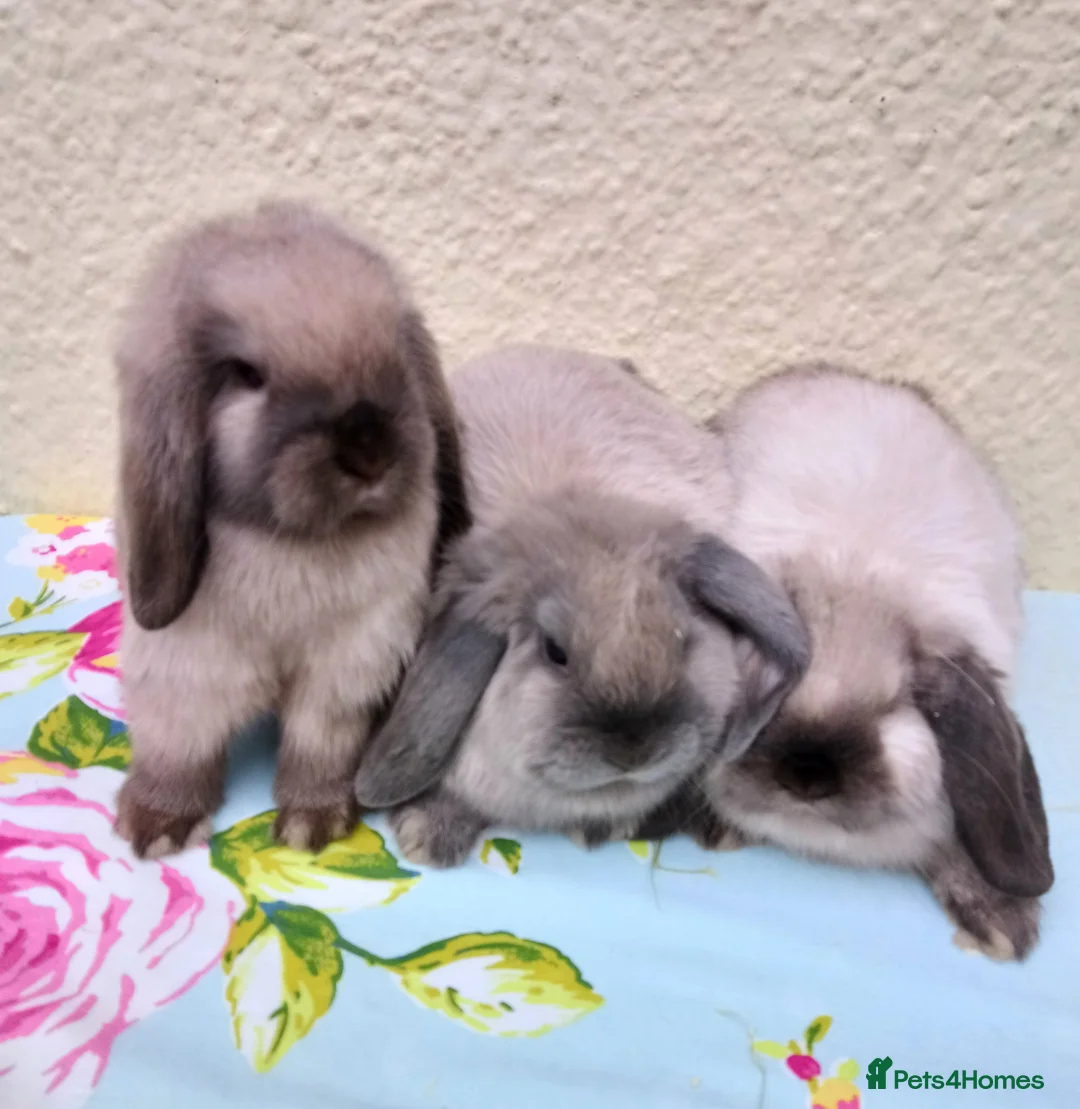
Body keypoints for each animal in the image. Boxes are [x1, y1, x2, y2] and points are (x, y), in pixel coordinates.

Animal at [113, 200, 470, 859]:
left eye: (394, 354)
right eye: (247, 375)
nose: (368, 448)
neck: (296, 541)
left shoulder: (350, 665)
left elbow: (319, 745)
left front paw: (315, 825)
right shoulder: (187, 666)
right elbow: (178, 743)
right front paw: (157, 827)